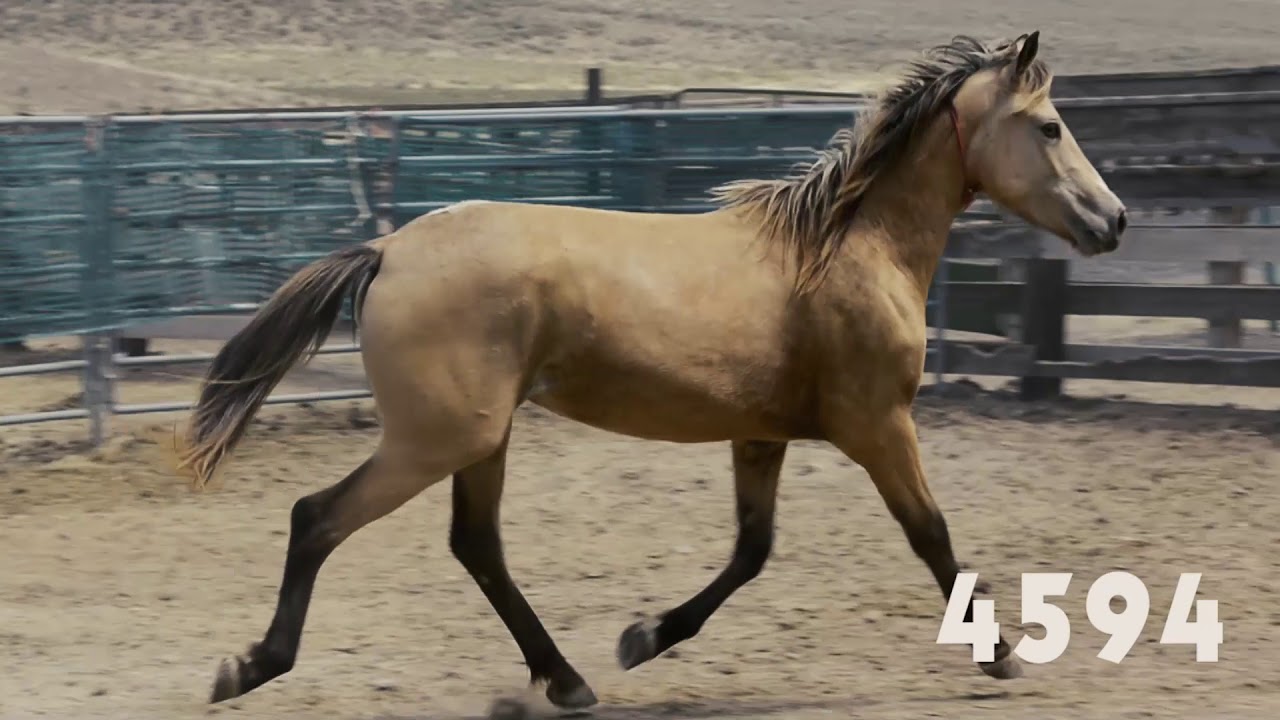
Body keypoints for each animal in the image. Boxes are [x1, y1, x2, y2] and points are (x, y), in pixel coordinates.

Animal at [178, 31, 1126, 712]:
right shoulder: (878, 425)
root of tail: (385, 250)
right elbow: (932, 536)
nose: (1113, 220)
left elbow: (751, 551)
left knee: (476, 545)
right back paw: (248, 667)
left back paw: (567, 680)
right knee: (317, 518)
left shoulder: (761, 435)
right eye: (1050, 127)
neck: (851, 248)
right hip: (437, 438)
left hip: (479, 439)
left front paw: (643, 637)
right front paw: (1001, 655)